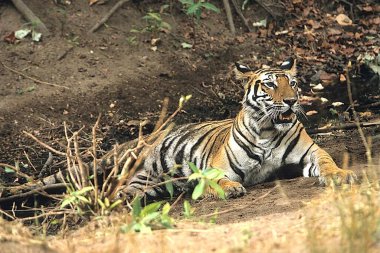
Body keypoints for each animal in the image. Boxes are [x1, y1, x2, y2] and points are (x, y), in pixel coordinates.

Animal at [122, 57, 360, 200]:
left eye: (292, 83)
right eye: (270, 84)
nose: (291, 101)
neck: (267, 130)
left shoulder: (310, 152)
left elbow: (326, 161)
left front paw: (339, 175)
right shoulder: (214, 168)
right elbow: (216, 180)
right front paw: (230, 188)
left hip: (148, 183)